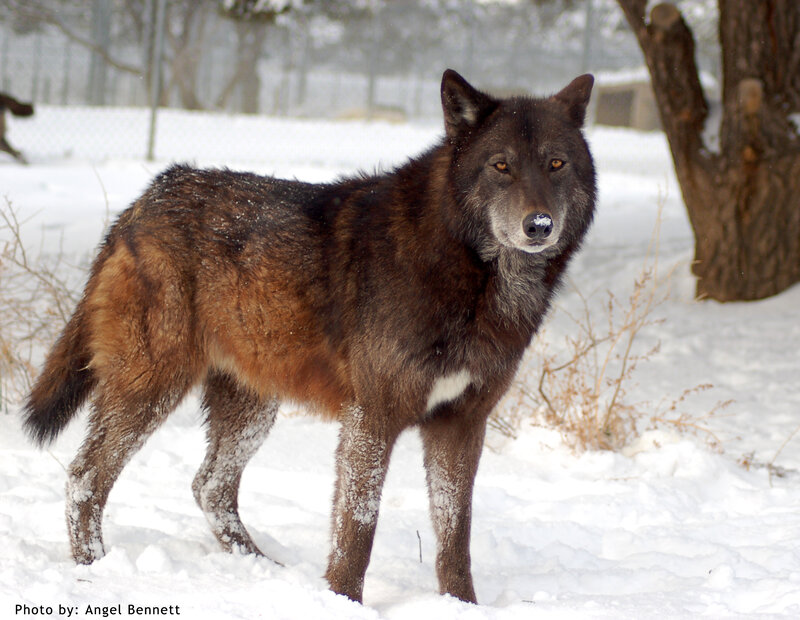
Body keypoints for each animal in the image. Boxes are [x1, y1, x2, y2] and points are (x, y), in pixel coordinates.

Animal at [23, 69, 596, 604]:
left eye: (556, 164)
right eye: (501, 166)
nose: (539, 225)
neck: (467, 271)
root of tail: (147, 197)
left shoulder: (461, 424)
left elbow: (456, 536)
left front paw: (461, 605)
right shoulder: (372, 417)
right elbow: (358, 528)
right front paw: (343, 600)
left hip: (252, 408)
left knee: (210, 487)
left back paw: (260, 568)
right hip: (153, 388)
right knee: (86, 476)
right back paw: (96, 567)